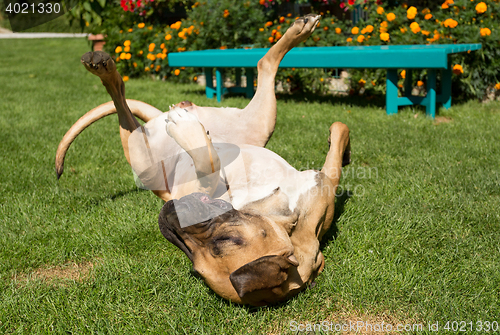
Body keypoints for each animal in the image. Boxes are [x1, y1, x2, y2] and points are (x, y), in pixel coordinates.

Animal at [54, 14, 350, 306]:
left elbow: (339, 131)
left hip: (245, 126)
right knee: (122, 92)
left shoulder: (322, 185)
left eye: (223, 240)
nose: (169, 216)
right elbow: (209, 162)